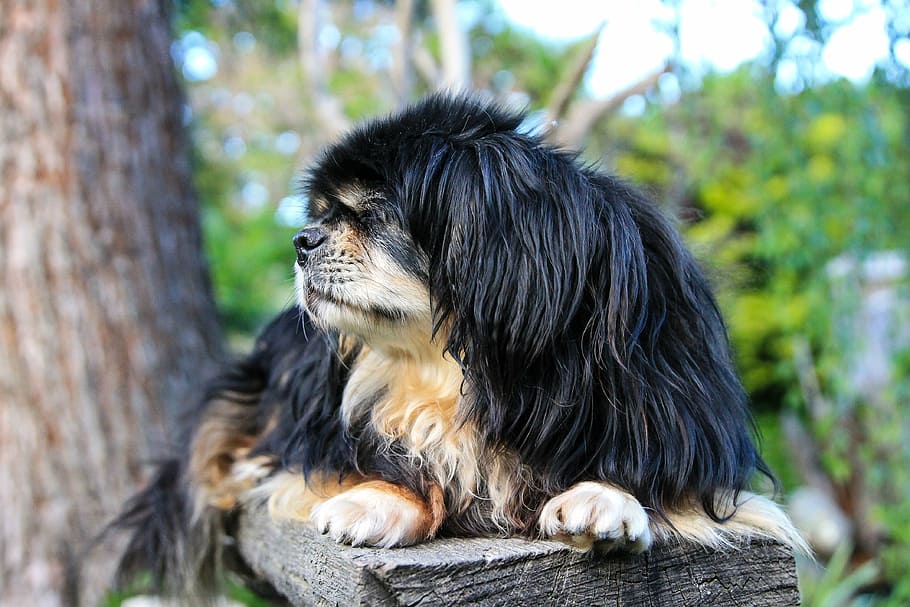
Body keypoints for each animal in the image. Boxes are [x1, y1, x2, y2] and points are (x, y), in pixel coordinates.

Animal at [112, 94, 804, 600]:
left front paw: (605, 497)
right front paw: (377, 500)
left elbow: (651, 472)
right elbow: (398, 458)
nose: (302, 239)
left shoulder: (674, 415)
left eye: (375, 212)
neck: (470, 370)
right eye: (324, 214)